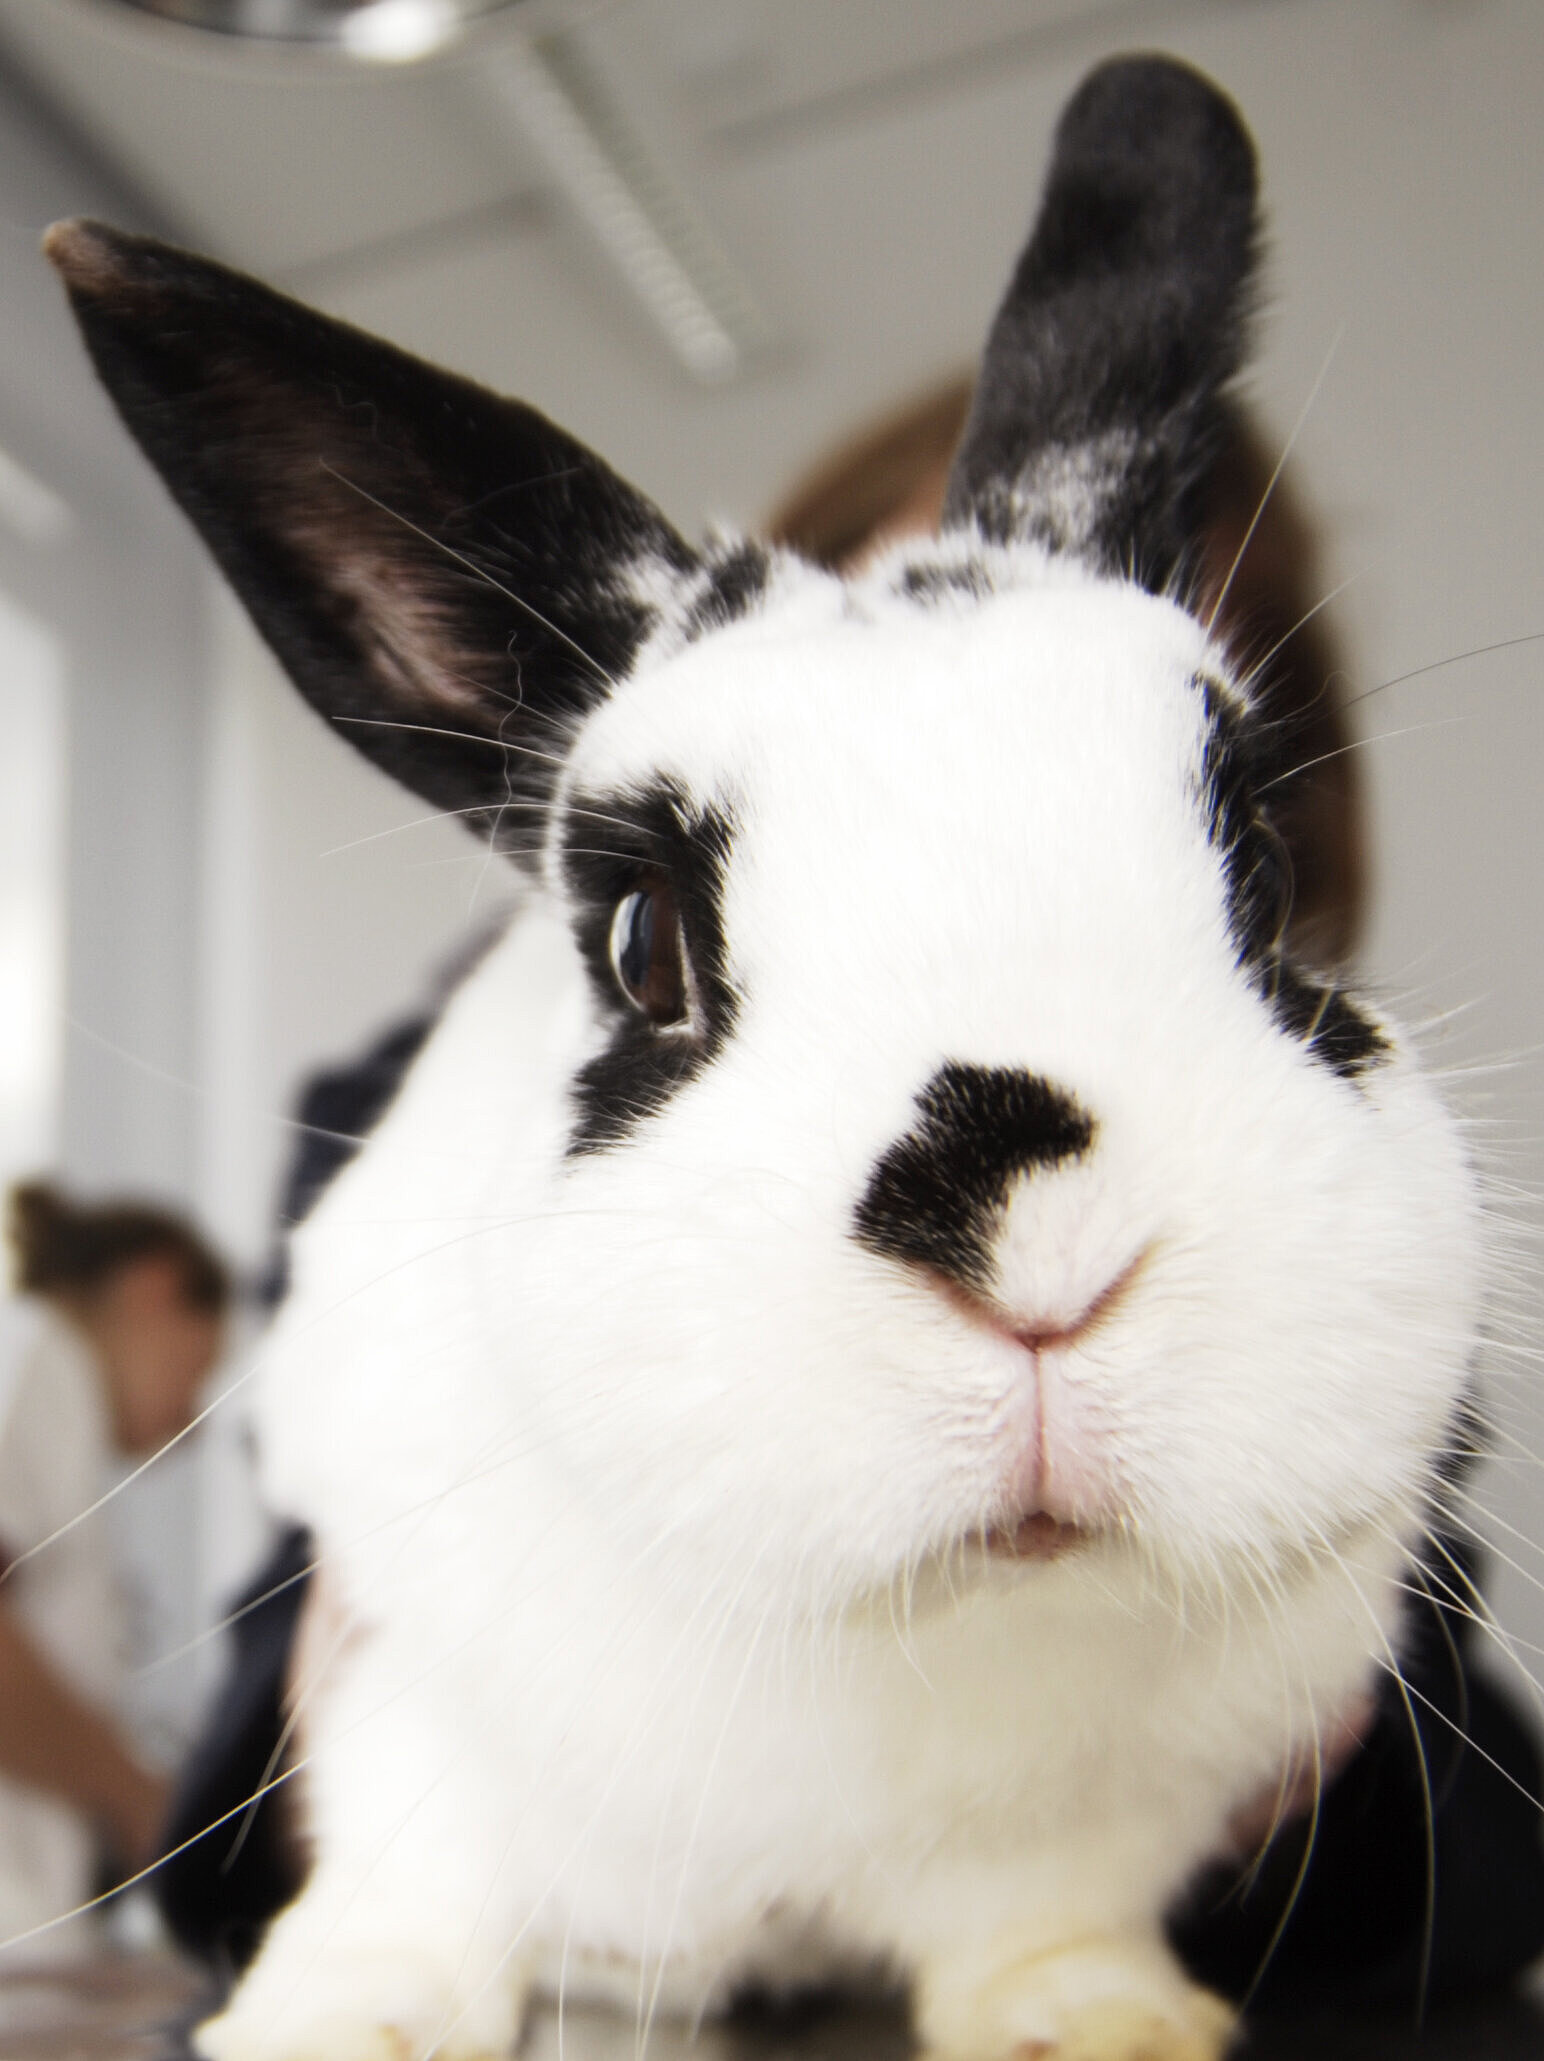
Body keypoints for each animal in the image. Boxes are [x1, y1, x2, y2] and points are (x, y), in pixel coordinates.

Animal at [48, 56, 1484, 2061]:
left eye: (1262, 874)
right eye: (643, 941)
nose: (1043, 1257)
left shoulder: (1093, 1822)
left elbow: (1045, 1915)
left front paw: (1102, 2021)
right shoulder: (415, 1696)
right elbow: (409, 1885)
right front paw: (328, 2019)